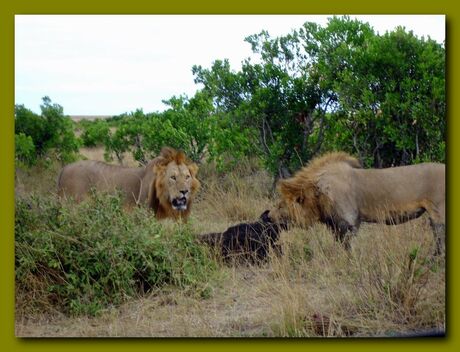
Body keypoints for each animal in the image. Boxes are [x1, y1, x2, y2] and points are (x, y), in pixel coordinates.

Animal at [270, 151, 446, 253]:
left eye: (280, 205)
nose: (268, 215)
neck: (318, 192)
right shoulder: (336, 223)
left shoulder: (350, 219)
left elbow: (347, 246)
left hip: (438, 211)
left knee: (439, 236)